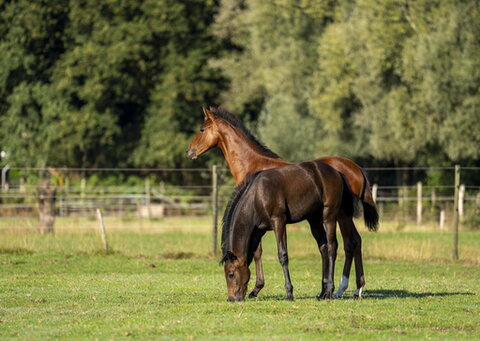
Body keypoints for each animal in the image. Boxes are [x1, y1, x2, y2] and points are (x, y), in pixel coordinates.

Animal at [220, 159, 352, 300]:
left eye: (231, 274)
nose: (231, 299)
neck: (257, 195)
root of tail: (336, 172)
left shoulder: (279, 222)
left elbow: (282, 255)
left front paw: (289, 293)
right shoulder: (258, 231)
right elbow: (256, 254)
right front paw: (255, 290)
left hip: (329, 216)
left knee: (332, 247)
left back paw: (329, 291)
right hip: (314, 220)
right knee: (323, 248)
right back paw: (323, 291)